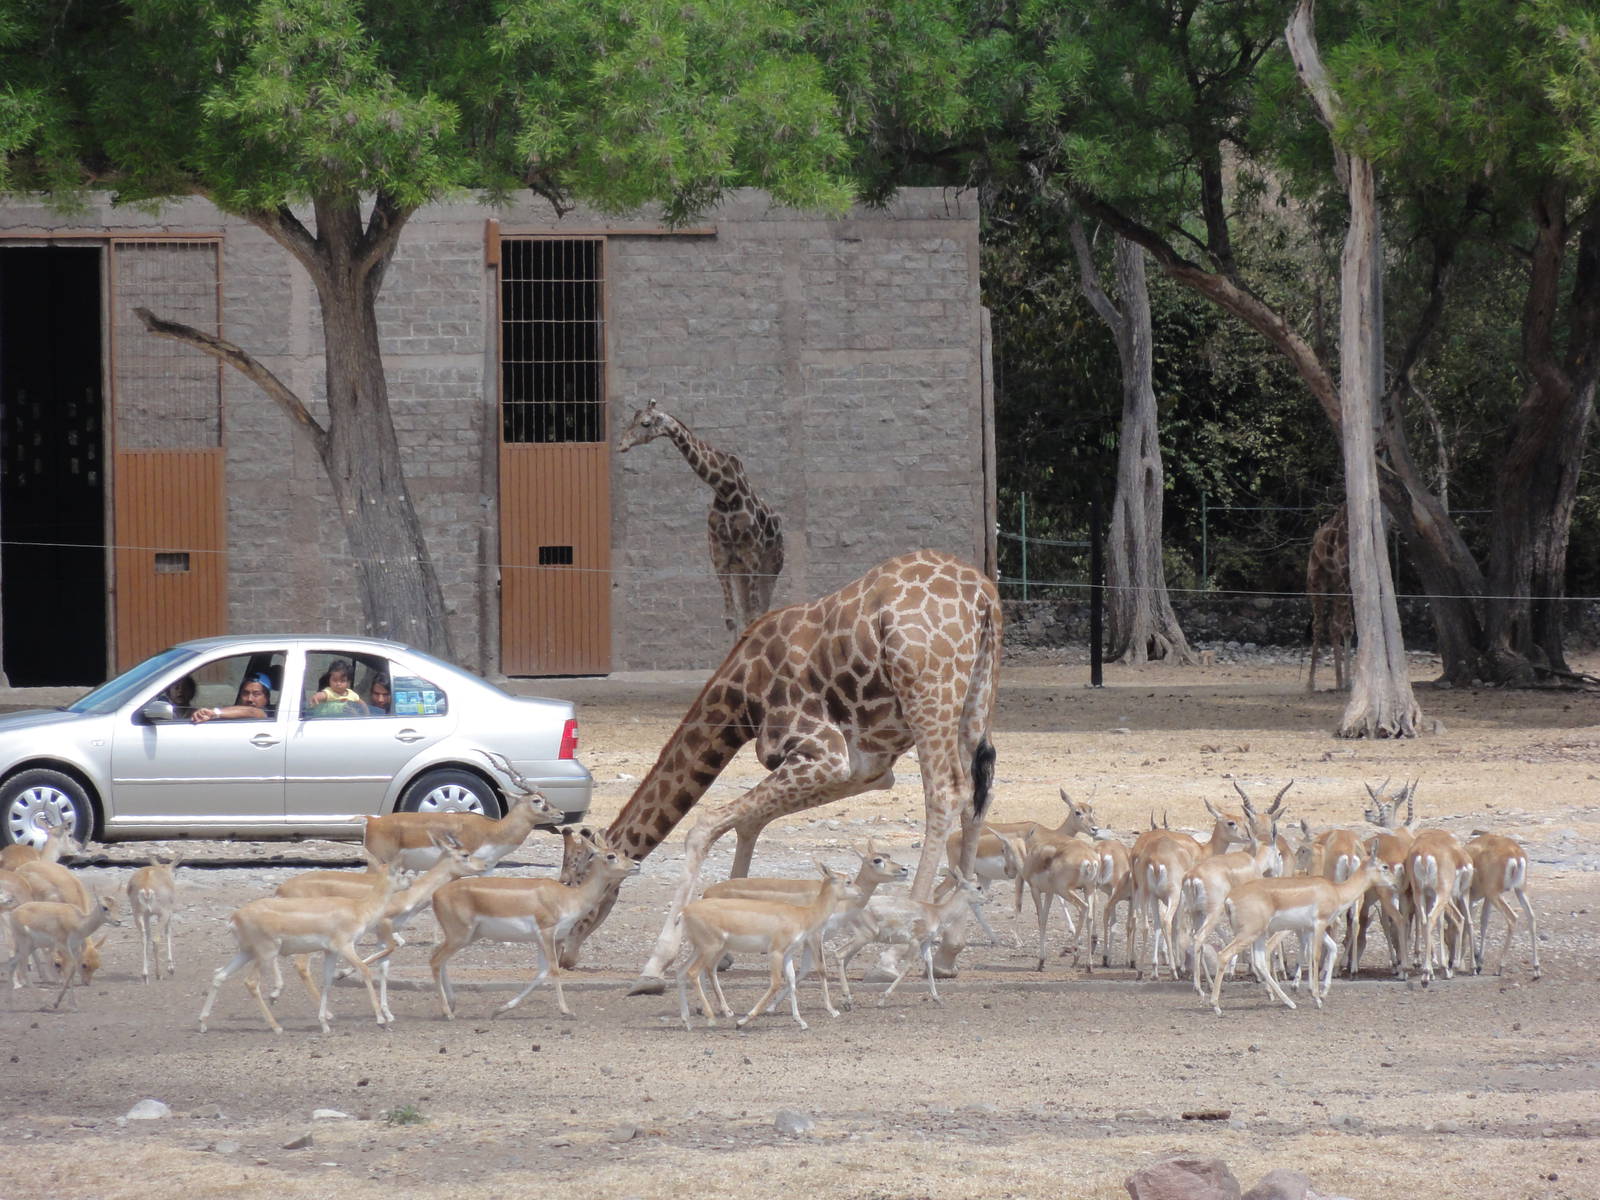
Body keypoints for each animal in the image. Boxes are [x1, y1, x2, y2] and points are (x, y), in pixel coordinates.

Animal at [556, 549, 1002, 995]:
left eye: (574, 878)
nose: (562, 952)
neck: (740, 694)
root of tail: (984, 596)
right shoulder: (864, 768)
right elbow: (748, 822)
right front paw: (727, 947)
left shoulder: (826, 755)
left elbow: (705, 825)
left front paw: (654, 964)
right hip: (976, 699)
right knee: (975, 799)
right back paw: (947, 953)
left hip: (928, 694)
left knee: (945, 792)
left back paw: (892, 959)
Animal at [619, 399, 785, 634]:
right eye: (633, 418)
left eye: (645, 423)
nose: (621, 444)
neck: (726, 491)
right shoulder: (721, 558)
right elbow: (731, 619)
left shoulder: (751, 556)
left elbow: (753, 616)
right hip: (740, 571)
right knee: (746, 612)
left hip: (770, 565)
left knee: (761, 611)